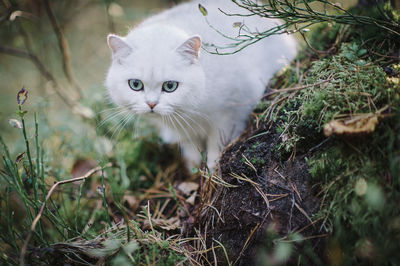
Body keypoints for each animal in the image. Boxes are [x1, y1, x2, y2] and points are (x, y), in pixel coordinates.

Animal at [105, 0, 296, 169]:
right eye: (135, 84)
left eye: (170, 86)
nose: (151, 104)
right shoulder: (180, 128)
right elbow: (190, 145)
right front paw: (194, 166)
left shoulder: (230, 113)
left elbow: (217, 143)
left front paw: (212, 168)